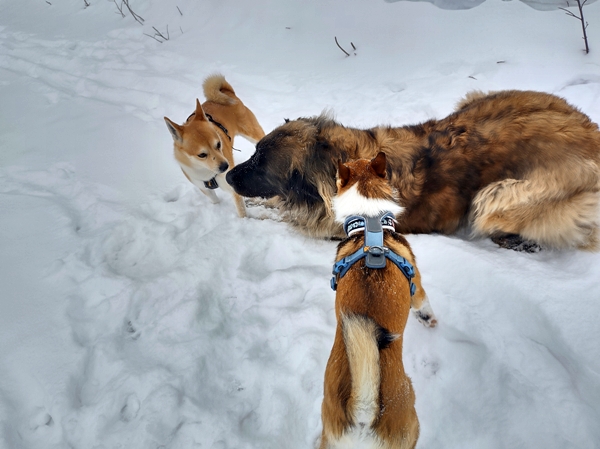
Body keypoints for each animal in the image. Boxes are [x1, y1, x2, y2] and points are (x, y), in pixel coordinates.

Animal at [166, 74, 264, 217]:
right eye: (202, 154)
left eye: (218, 144)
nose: (225, 167)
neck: (207, 172)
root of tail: (228, 92)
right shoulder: (203, 187)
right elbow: (214, 200)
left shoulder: (232, 187)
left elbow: (241, 211)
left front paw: (245, 220)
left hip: (252, 132)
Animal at [226, 90, 600, 252]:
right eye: (254, 153)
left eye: (260, 163)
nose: (227, 176)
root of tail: (591, 132)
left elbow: (283, 215)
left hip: (497, 195)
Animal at [322, 151, 434, 448]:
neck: (368, 223)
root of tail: (363, 413)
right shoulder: (417, 286)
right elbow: (424, 303)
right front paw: (428, 318)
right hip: (411, 423)